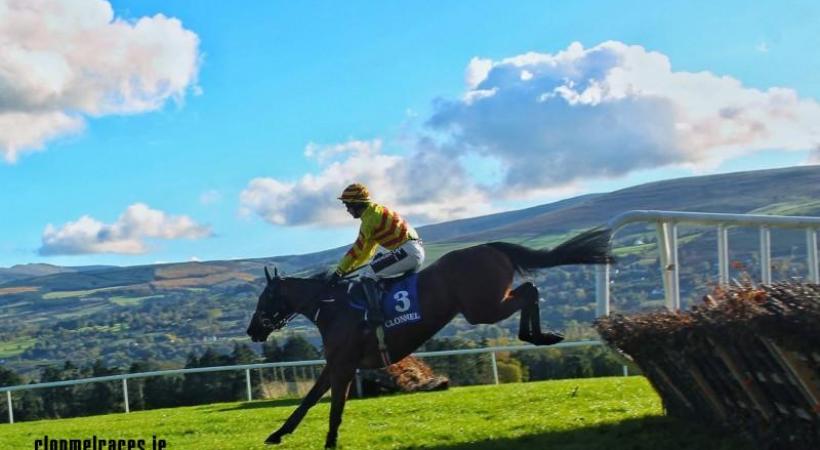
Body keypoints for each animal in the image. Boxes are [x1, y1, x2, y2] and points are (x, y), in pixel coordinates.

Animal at [247, 229, 612, 446]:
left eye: (265, 299)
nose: (252, 330)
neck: (333, 306)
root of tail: (489, 247)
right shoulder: (336, 363)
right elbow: (309, 399)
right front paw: (278, 433)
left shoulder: (345, 365)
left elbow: (334, 406)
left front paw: (329, 442)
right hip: (486, 305)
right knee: (529, 289)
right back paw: (541, 335)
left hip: (482, 308)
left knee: (530, 290)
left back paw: (539, 335)